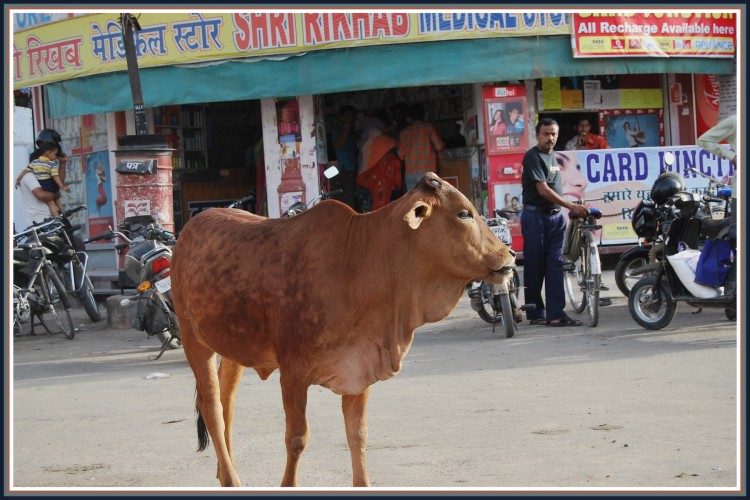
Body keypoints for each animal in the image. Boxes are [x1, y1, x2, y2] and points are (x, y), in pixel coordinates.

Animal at [170, 174, 516, 486]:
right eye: (464, 213)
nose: (510, 254)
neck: (359, 262)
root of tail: (191, 226)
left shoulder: (360, 366)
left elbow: (357, 435)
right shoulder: (293, 373)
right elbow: (297, 438)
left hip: (233, 346)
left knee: (227, 401)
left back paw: (224, 471)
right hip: (192, 339)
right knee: (212, 407)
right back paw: (231, 479)